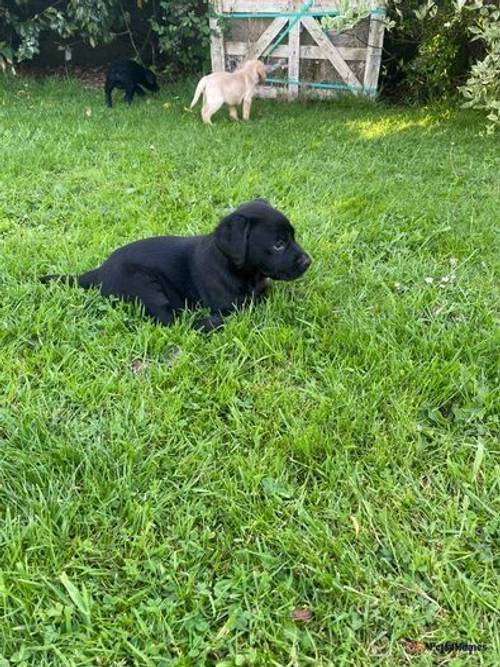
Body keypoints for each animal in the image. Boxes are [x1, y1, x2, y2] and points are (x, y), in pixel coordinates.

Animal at [41, 200, 310, 332]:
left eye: (292, 237)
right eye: (278, 244)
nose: (308, 261)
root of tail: (98, 271)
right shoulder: (230, 305)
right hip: (143, 284)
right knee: (170, 320)